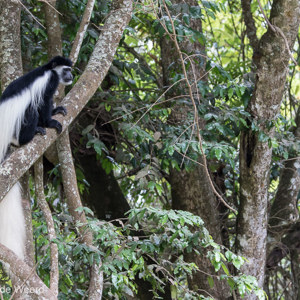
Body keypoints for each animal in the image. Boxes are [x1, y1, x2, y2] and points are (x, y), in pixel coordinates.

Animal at [0, 55, 73, 260]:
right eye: (66, 70)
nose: (71, 76)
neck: (48, 69)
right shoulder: (49, 81)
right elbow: (44, 103)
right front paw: (50, 121)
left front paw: (56, 113)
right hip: (18, 126)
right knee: (31, 109)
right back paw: (31, 134)